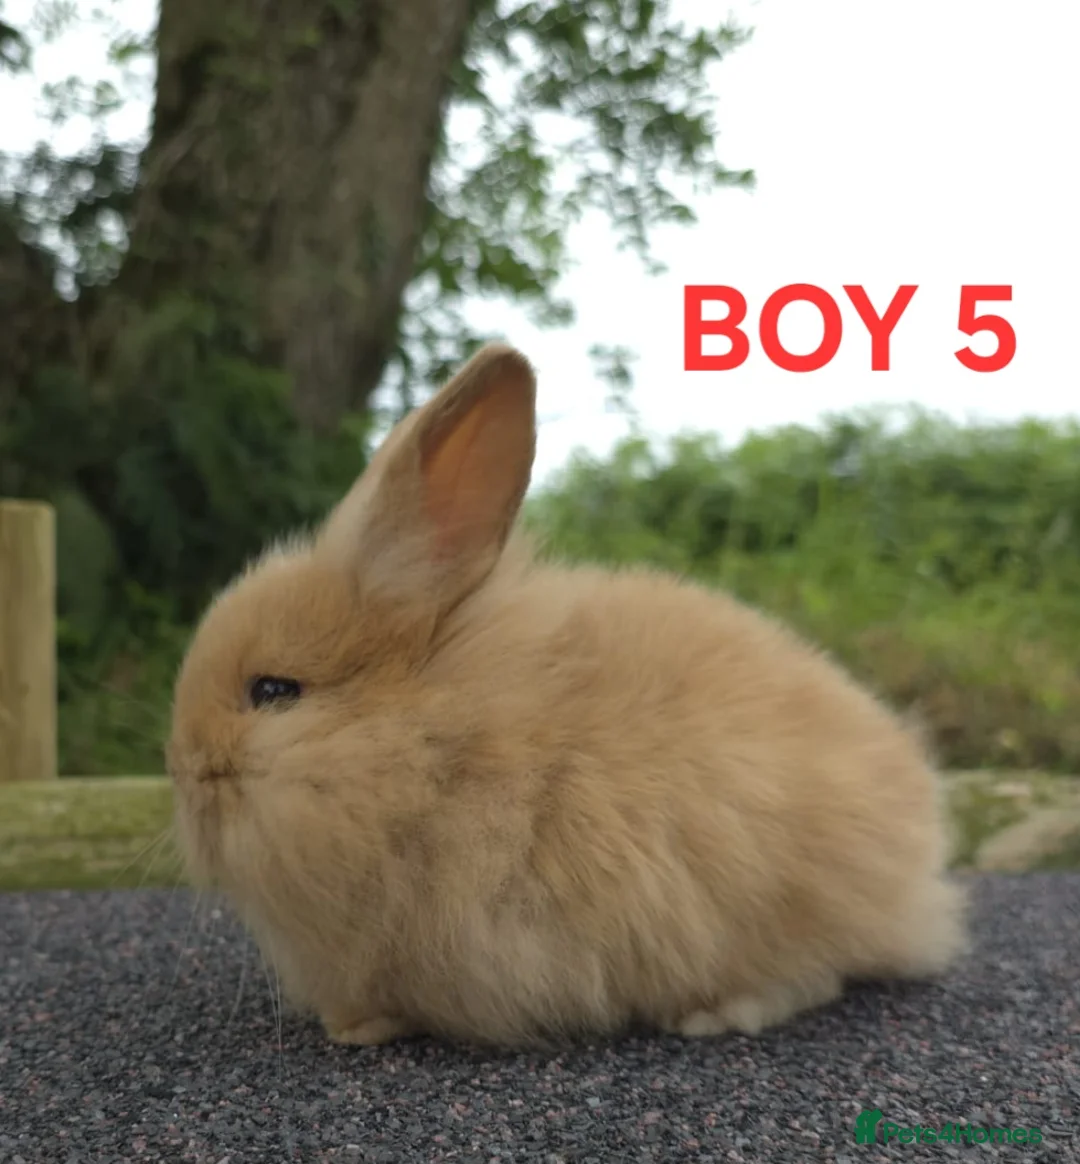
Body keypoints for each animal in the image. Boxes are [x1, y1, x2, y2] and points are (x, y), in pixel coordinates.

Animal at [166, 342, 968, 1049]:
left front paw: (356, 1031)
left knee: (814, 975)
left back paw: (713, 1014)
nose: (182, 769)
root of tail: (920, 841)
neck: (440, 745)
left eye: (274, 690)